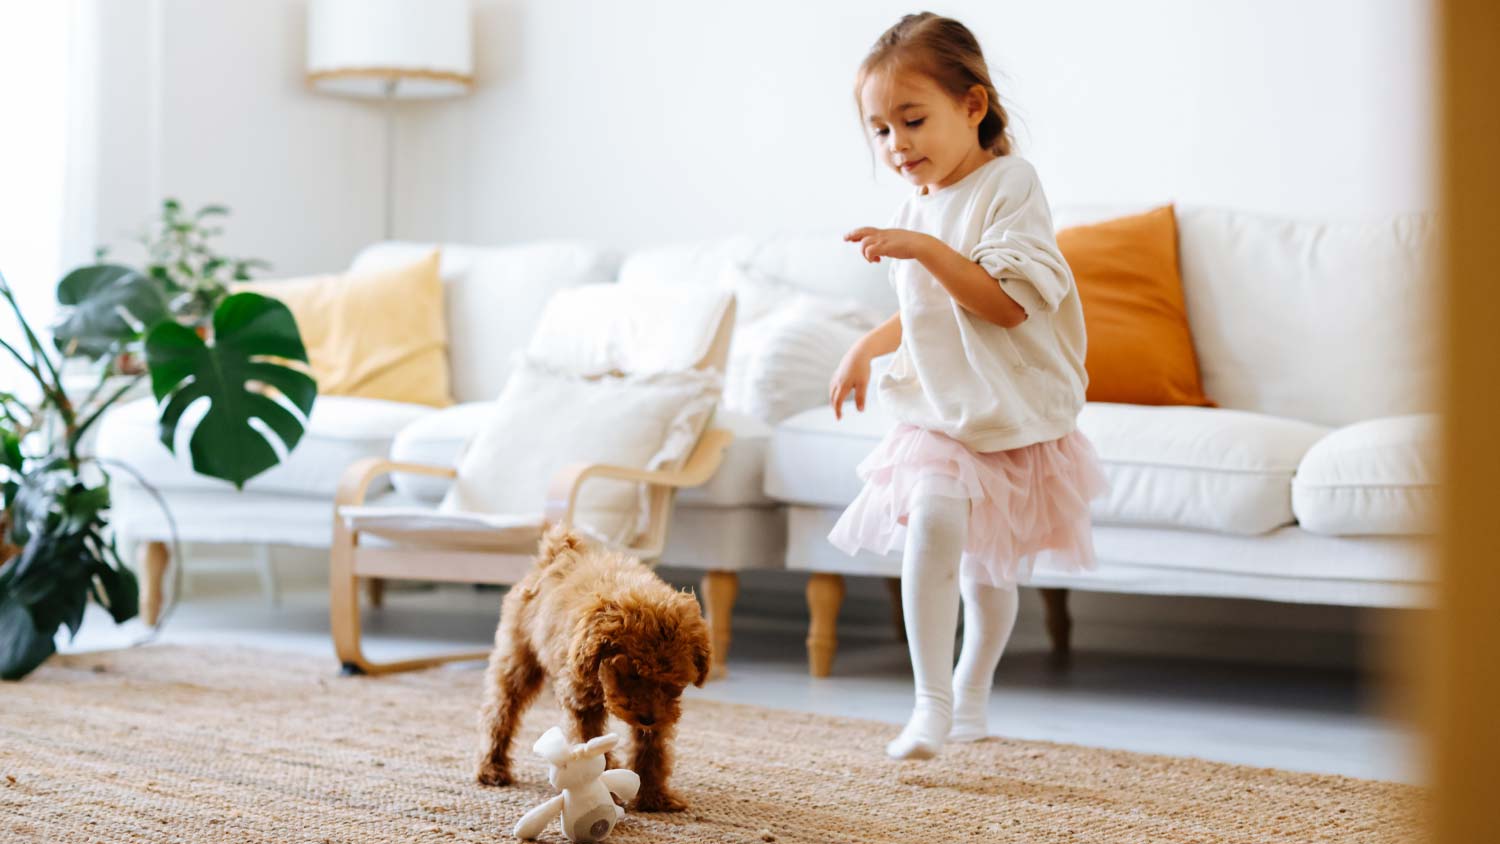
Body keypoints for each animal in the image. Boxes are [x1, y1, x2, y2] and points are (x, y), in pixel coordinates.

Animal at [480, 527, 714, 809]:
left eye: (674, 682)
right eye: (632, 674)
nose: (647, 718)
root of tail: (558, 553)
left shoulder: (661, 711)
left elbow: (652, 750)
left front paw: (654, 797)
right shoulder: (581, 702)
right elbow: (589, 744)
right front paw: (603, 793)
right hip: (518, 659)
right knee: (500, 712)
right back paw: (492, 768)